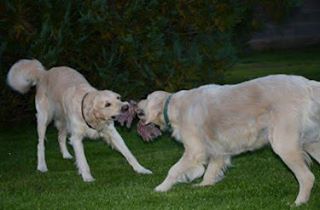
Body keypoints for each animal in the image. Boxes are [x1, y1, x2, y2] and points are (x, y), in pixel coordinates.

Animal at [6, 59, 152, 182]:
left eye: (118, 98)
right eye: (107, 104)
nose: (126, 107)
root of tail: (44, 72)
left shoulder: (112, 133)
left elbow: (129, 153)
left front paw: (141, 169)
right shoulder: (76, 138)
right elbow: (83, 161)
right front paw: (87, 178)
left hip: (64, 121)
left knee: (60, 137)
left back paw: (66, 155)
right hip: (44, 118)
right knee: (40, 144)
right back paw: (42, 166)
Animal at [138, 75, 320, 205]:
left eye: (146, 98)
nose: (135, 104)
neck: (174, 106)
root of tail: (307, 85)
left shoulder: (195, 151)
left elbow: (174, 170)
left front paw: (161, 188)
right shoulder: (218, 150)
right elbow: (211, 170)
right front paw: (204, 185)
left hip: (284, 145)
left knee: (307, 177)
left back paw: (298, 202)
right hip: (311, 143)